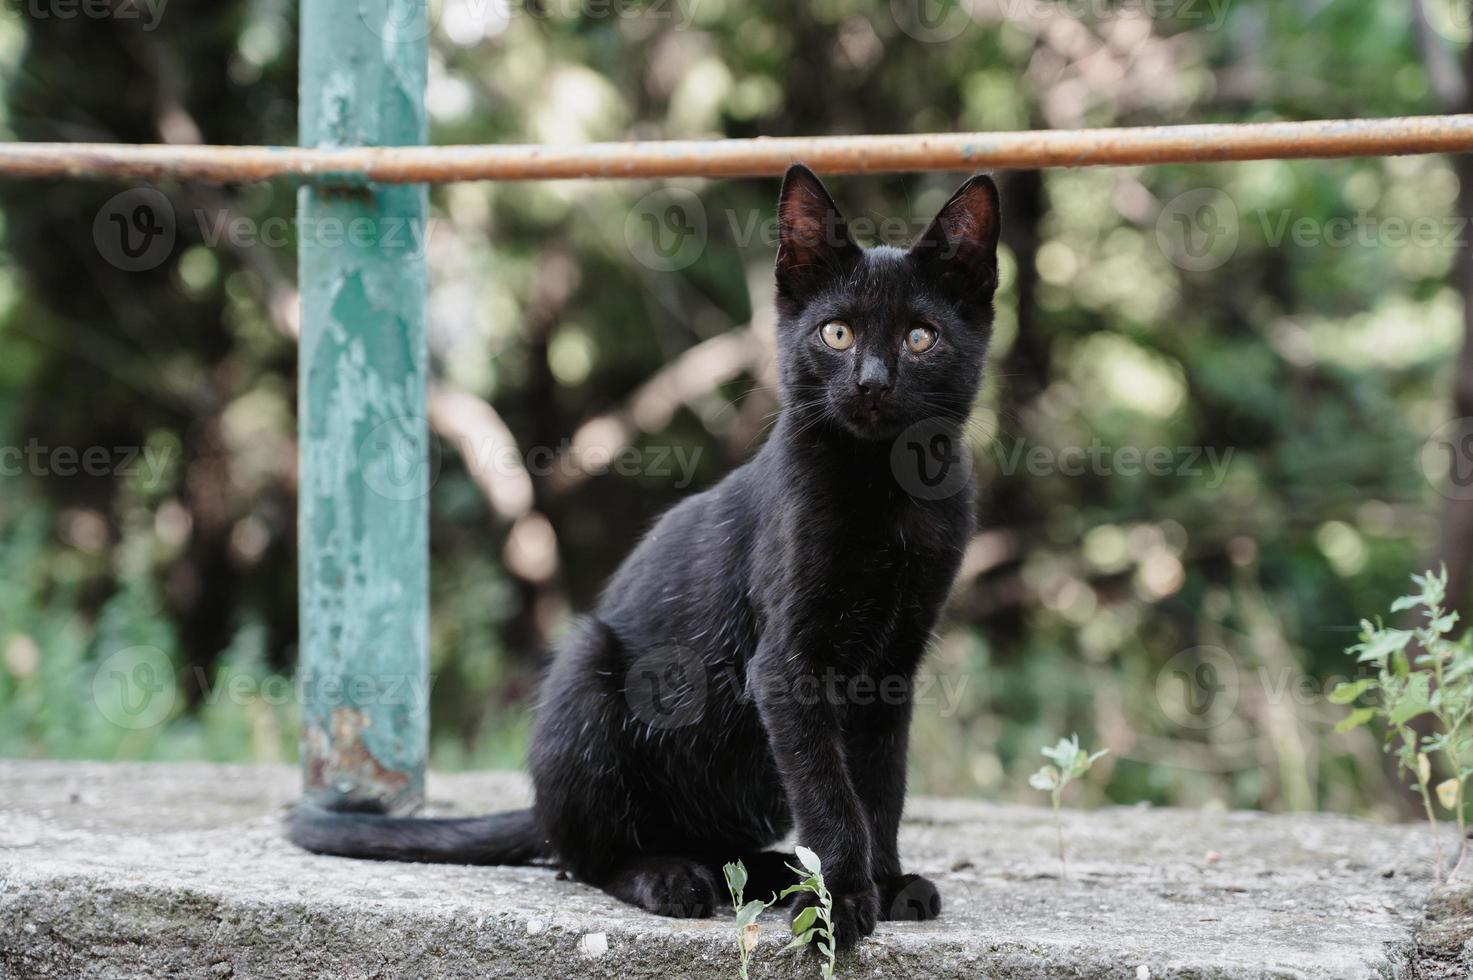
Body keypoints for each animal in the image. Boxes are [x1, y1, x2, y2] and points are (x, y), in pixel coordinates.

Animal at [287, 166, 1001, 949]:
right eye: (836, 333)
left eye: (920, 337)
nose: (872, 382)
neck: (887, 495)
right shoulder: (787, 664)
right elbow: (827, 791)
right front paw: (838, 903)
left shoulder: (895, 663)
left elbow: (880, 784)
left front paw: (884, 879)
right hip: (586, 669)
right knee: (587, 857)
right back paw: (670, 878)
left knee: (703, 844)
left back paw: (771, 873)